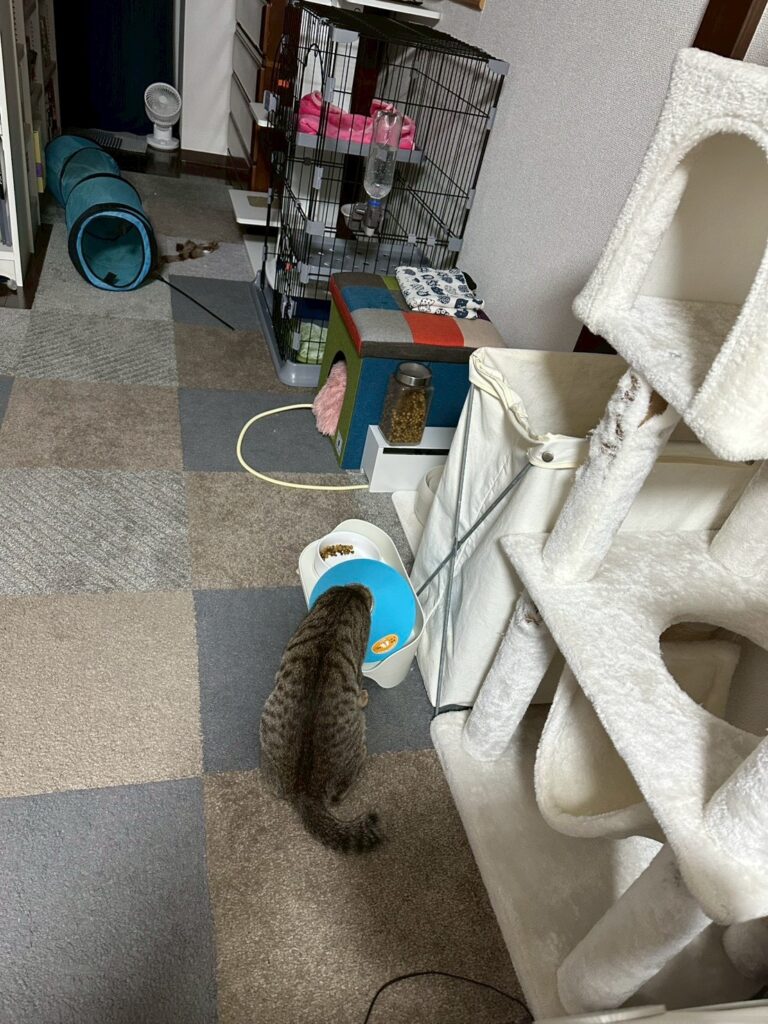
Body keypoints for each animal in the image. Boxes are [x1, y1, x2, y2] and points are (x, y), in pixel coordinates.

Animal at [259, 584, 382, 853]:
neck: (345, 597)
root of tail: (303, 791)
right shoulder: (357, 668)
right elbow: (359, 688)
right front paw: (364, 696)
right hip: (357, 746)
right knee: (338, 795)